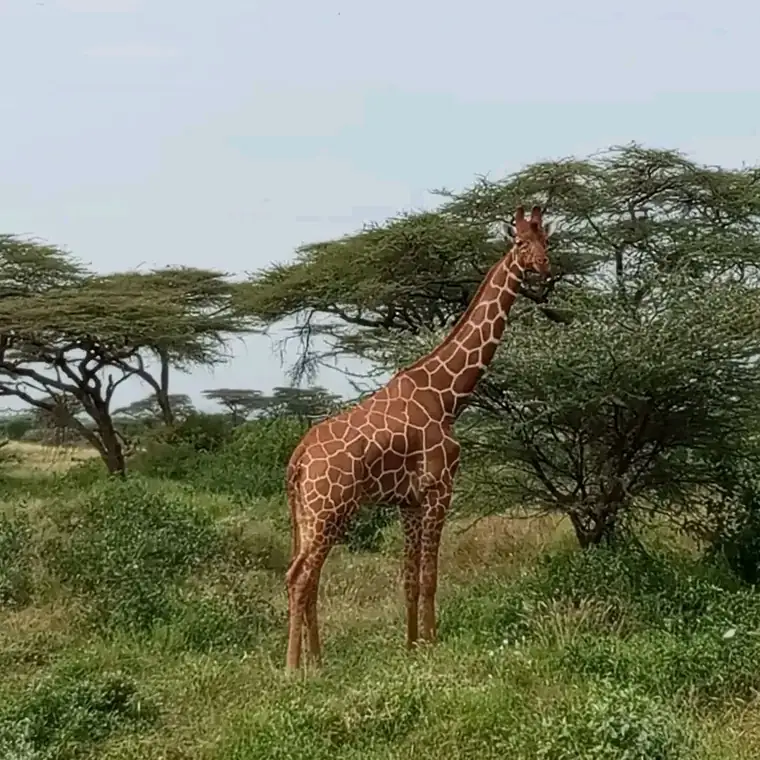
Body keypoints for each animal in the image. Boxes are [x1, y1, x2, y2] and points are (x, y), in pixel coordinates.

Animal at [284, 204, 553, 671]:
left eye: (547, 240)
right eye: (520, 242)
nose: (544, 267)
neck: (447, 396)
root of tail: (299, 458)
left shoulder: (407, 501)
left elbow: (409, 579)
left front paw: (411, 647)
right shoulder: (439, 488)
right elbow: (430, 577)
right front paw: (433, 645)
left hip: (307, 513)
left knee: (307, 576)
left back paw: (317, 660)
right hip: (329, 509)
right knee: (300, 577)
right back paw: (292, 669)